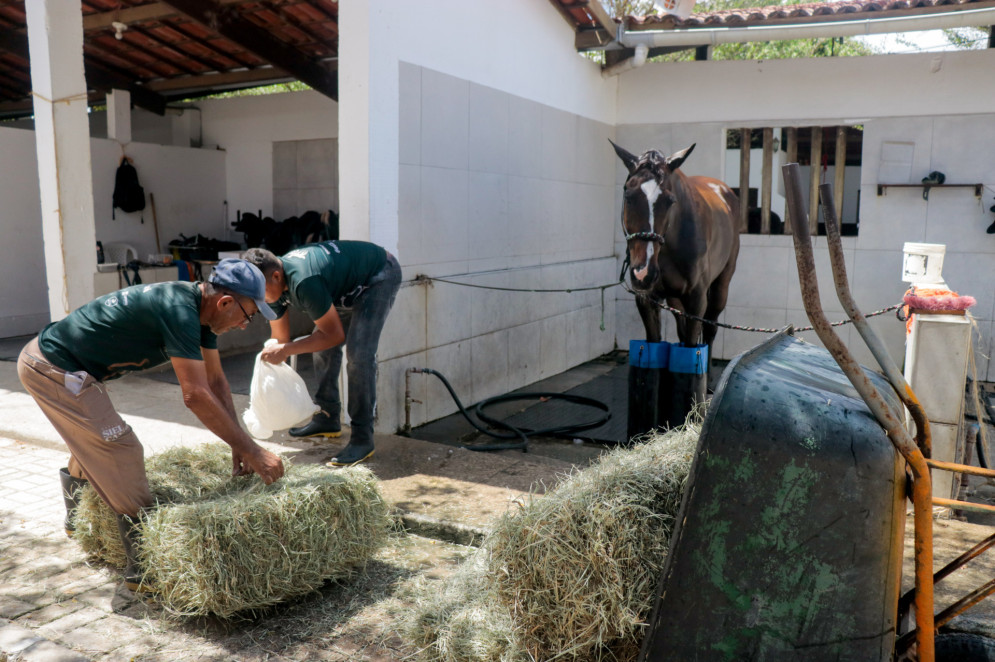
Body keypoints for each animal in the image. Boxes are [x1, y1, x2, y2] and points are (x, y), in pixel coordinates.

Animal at [612, 141, 744, 352]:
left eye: (670, 201)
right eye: (628, 195)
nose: (643, 273)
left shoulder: (696, 300)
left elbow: (692, 345)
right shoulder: (647, 299)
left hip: (721, 286)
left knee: (710, 329)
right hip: (675, 299)